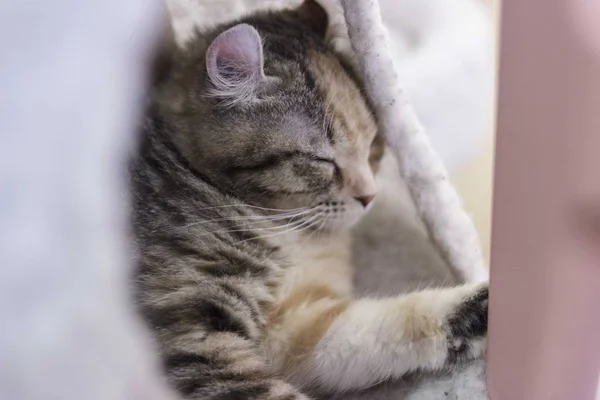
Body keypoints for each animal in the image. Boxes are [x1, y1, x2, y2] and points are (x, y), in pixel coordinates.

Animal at [130, 1, 488, 398]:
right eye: (321, 160)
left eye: (373, 143)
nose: (369, 196)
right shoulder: (189, 333)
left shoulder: (297, 326)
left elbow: (376, 327)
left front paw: (481, 309)